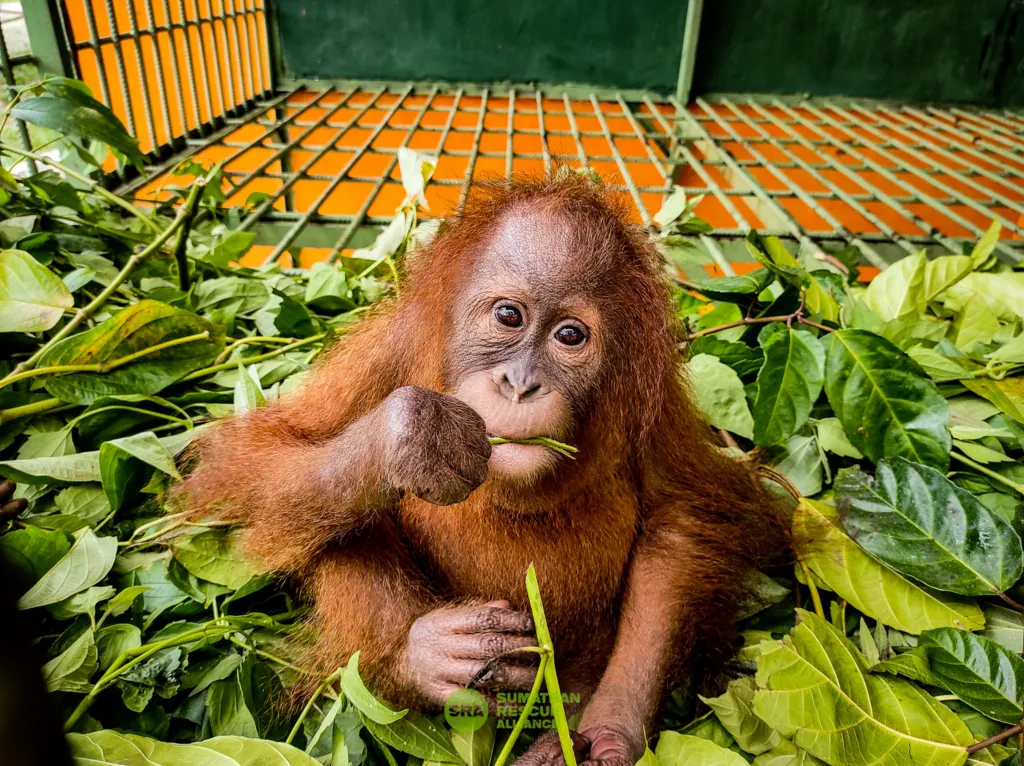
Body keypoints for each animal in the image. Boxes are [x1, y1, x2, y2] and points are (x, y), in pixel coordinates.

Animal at [178, 175, 786, 766]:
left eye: (570, 336)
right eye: (508, 316)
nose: (519, 384)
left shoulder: (654, 400)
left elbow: (678, 520)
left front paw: (608, 730)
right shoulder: (385, 352)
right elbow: (266, 453)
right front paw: (410, 434)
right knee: (340, 529)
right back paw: (423, 657)